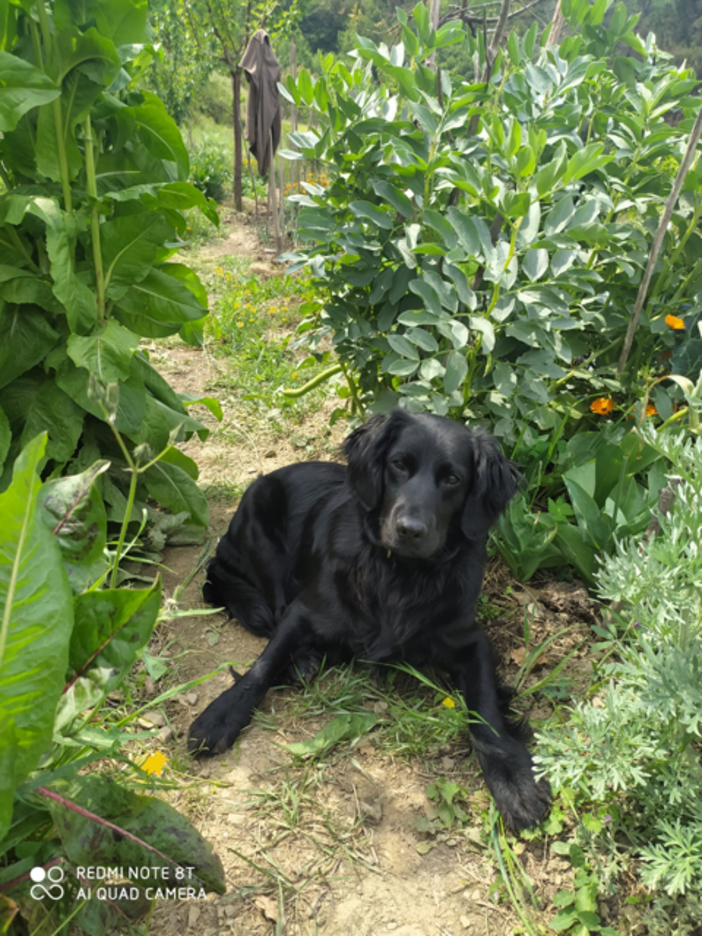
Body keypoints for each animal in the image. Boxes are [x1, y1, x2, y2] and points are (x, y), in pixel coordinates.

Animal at [190, 414, 552, 828]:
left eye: (452, 479)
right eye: (398, 464)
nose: (410, 529)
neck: (401, 575)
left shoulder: (470, 639)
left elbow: (486, 707)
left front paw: (514, 779)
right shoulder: (305, 609)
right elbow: (262, 666)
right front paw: (221, 715)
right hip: (260, 532)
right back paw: (303, 662)